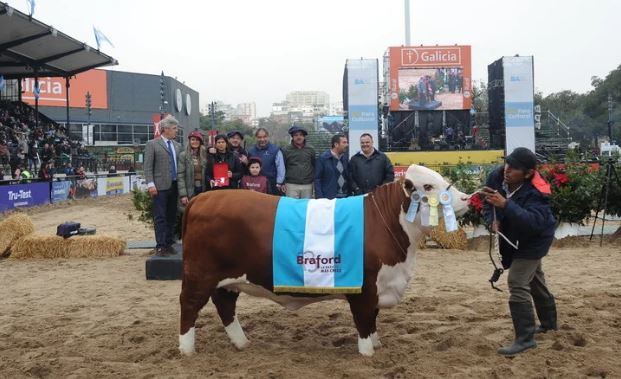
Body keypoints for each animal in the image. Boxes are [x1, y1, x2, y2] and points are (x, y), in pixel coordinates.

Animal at [177, 165, 468, 358]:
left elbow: (374, 319)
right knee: (190, 306)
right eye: (428, 186)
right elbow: (364, 320)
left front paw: (377, 345)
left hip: (227, 280)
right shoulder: (364, 288)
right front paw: (367, 353)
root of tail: (203, 197)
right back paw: (187, 350)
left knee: (225, 306)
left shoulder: (381, 286)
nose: (467, 198)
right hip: (200, 275)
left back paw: (241, 343)